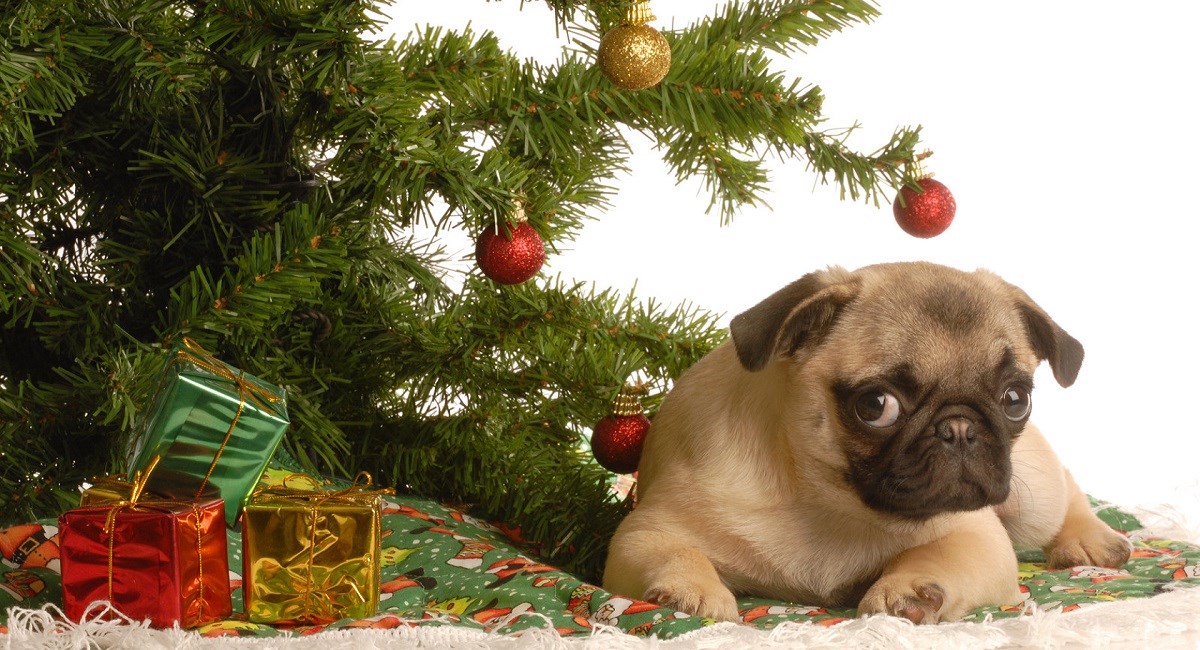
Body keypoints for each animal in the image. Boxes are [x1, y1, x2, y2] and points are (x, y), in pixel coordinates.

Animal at [604, 262, 1128, 623]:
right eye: (876, 406)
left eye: (1015, 399)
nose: (959, 427)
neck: (832, 503)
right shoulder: (648, 531)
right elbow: (676, 551)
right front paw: (693, 591)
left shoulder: (977, 536)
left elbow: (937, 553)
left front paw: (910, 587)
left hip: (1030, 494)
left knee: (1064, 488)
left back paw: (1091, 539)